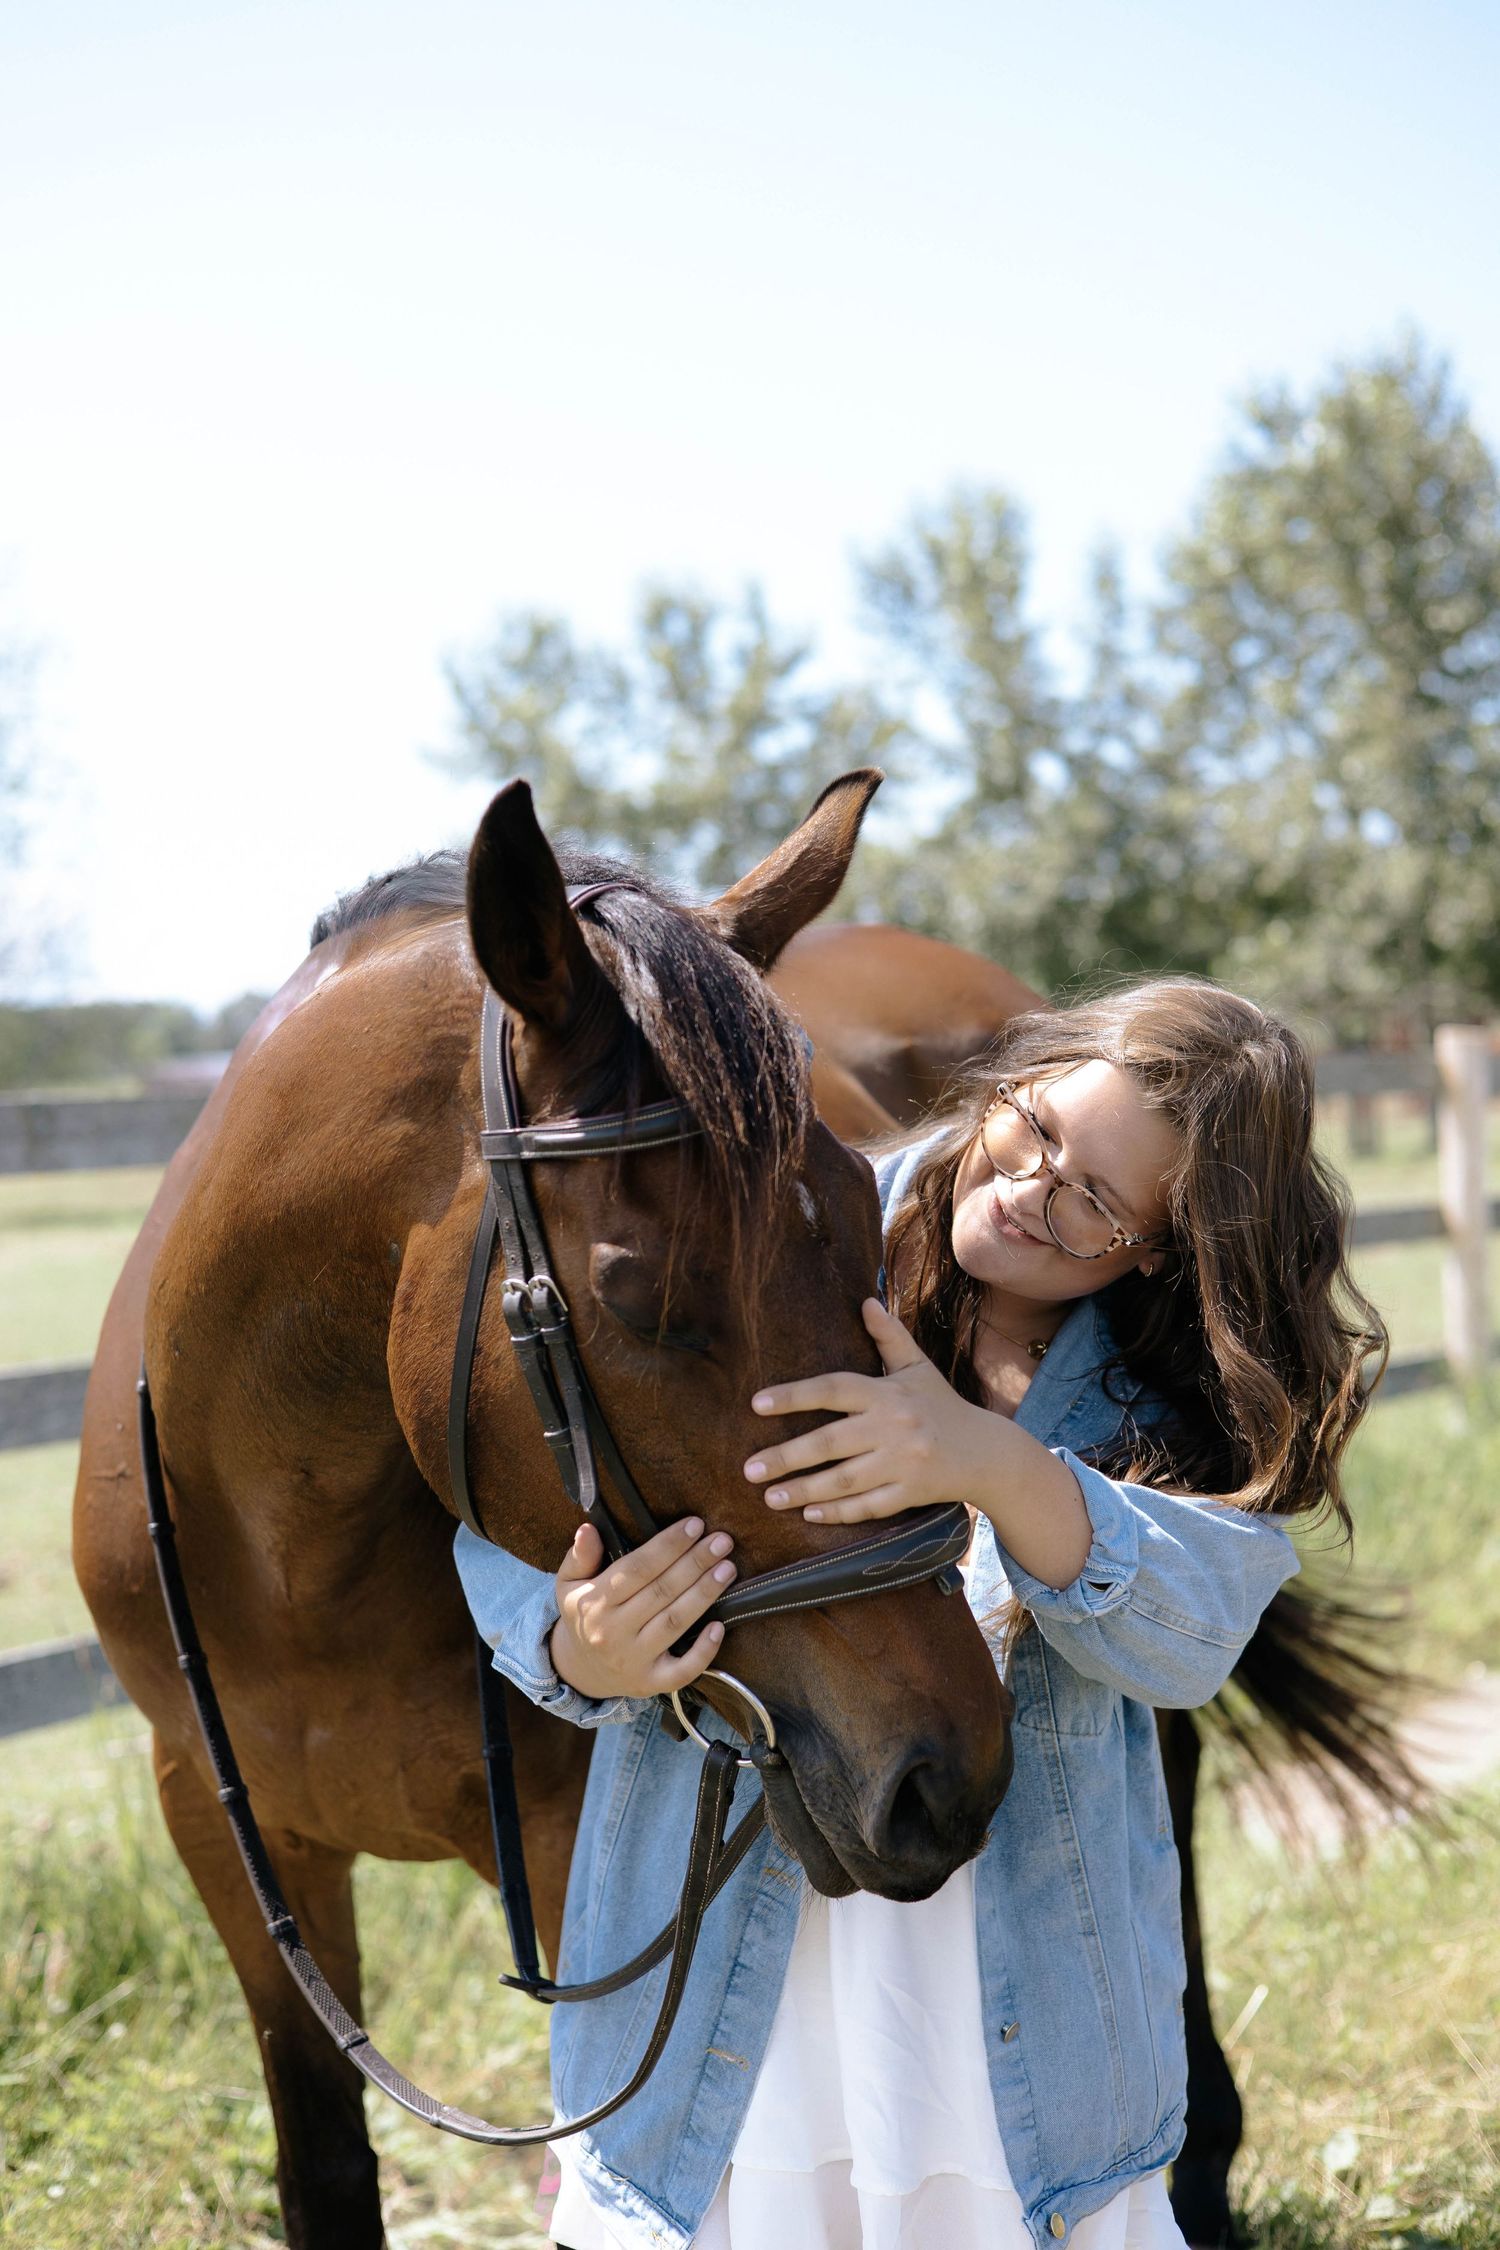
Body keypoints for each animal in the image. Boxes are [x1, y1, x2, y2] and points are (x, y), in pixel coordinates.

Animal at [72, 771, 1013, 2250]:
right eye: (637, 1294)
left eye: (876, 1218)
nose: (949, 1768)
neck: (291, 1558)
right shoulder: (228, 1839)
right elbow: (325, 2166)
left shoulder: (585, 1850)